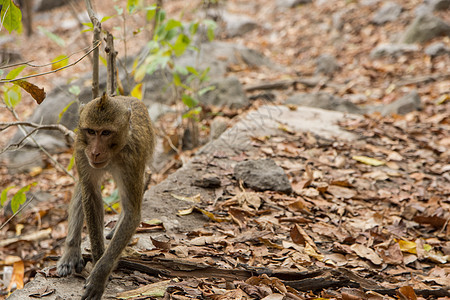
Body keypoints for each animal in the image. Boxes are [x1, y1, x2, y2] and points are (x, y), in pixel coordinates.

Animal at [57, 94, 156, 300]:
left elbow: (132, 213)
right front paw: (97, 258)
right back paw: (71, 251)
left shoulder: (133, 158)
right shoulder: (81, 149)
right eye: (91, 131)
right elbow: (91, 195)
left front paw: (100, 274)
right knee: (82, 187)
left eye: (106, 133)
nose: (95, 152)